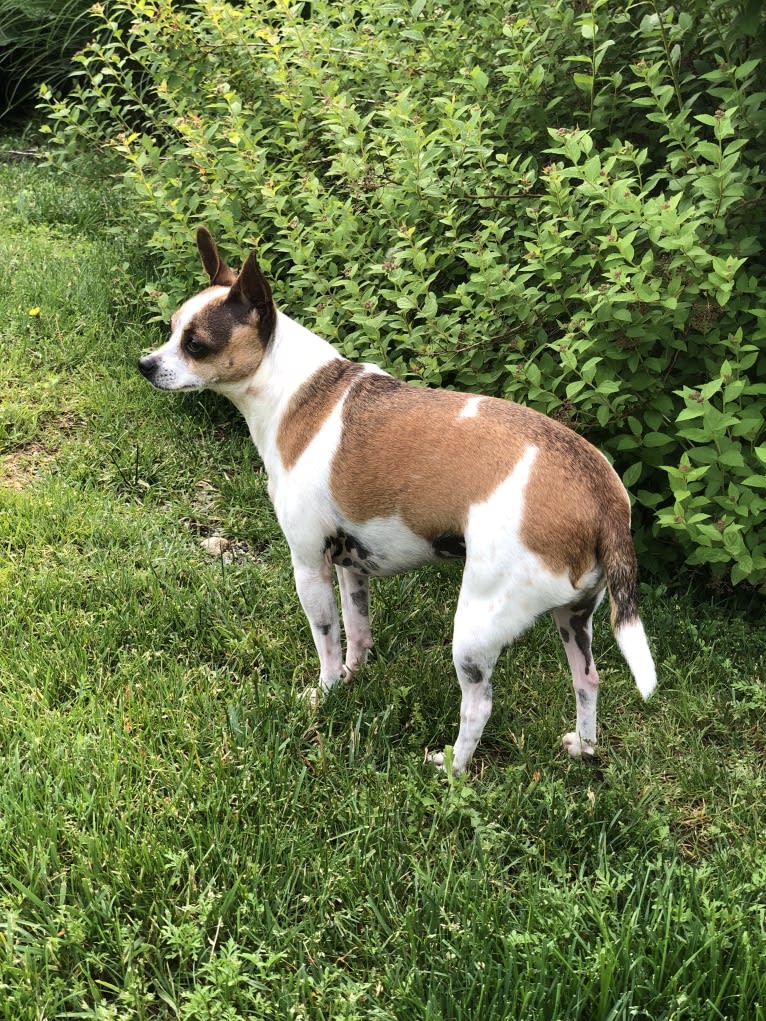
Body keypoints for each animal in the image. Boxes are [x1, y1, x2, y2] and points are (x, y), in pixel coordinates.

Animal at [140, 229, 657, 771]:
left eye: (195, 345)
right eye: (170, 329)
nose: (145, 364)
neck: (297, 392)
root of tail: (603, 494)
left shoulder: (309, 568)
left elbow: (326, 640)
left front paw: (325, 692)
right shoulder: (351, 565)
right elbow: (357, 631)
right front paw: (352, 677)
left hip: (476, 627)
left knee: (479, 706)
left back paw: (451, 767)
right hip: (574, 617)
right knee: (587, 679)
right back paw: (583, 745)